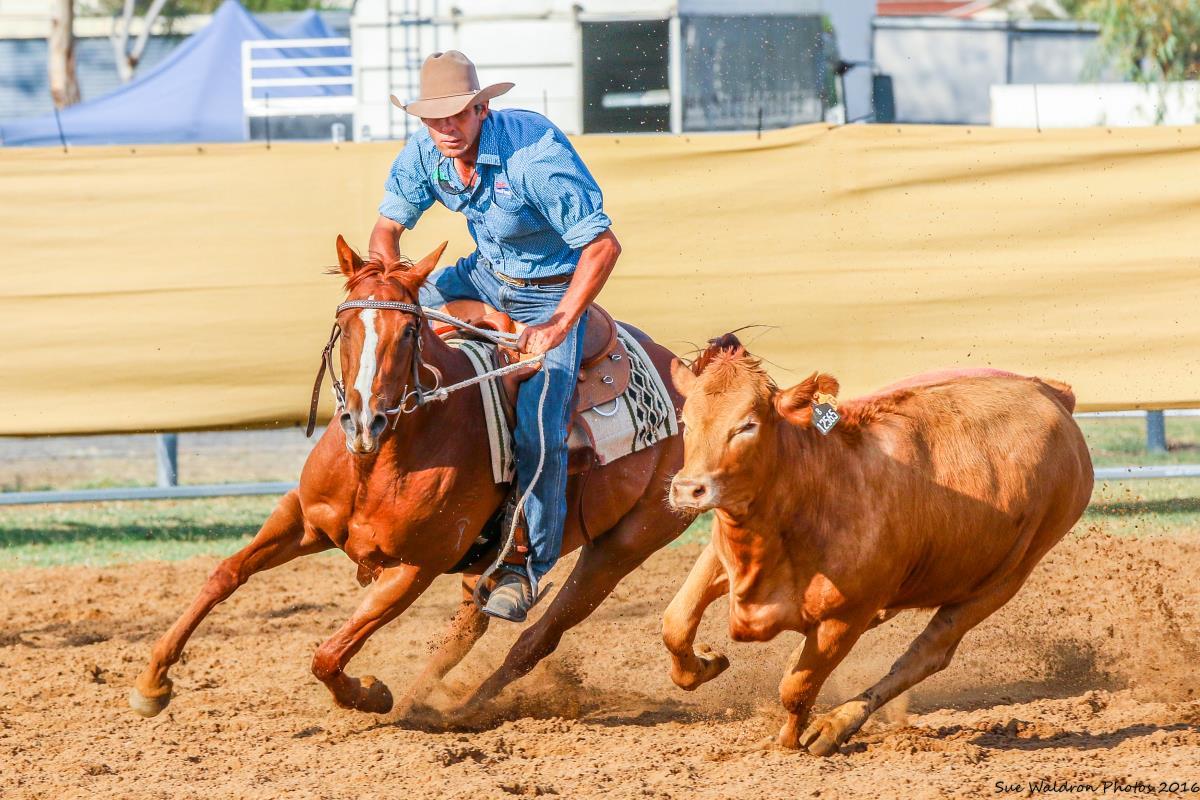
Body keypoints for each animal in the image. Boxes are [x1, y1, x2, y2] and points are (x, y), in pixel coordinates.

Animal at [129, 236, 692, 721]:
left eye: (407, 333)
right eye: (346, 327)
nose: (364, 422)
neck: (379, 462)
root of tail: (686, 370)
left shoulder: (413, 568)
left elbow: (329, 654)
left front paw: (371, 693)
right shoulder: (302, 518)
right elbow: (226, 574)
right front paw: (152, 683)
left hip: (624, 546)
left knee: (537, 638)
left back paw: (458, 710)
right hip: (488, 561)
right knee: (470, 624)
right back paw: (425, 699)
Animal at [661, 333, 1093, 755]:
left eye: (747, 425)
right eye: (686, 421)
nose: (688, 489)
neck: (811, 486)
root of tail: (1048, 392)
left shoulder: (847, 615)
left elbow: (798, 688)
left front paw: (787, 740)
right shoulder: (722, 555)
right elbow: (676, 622)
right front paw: (704, 664)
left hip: (1004, 579)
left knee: (926, 656)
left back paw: (836, 724)